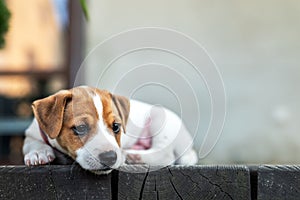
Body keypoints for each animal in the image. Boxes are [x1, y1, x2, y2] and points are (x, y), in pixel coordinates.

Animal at [22, 86, 198, 173]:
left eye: (116, 126)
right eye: (80, 128)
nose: (110, 158)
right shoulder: (31, 135)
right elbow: (32, 143)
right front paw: (38, 153)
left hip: (160, 117)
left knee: (165, 154)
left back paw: (131, 155)